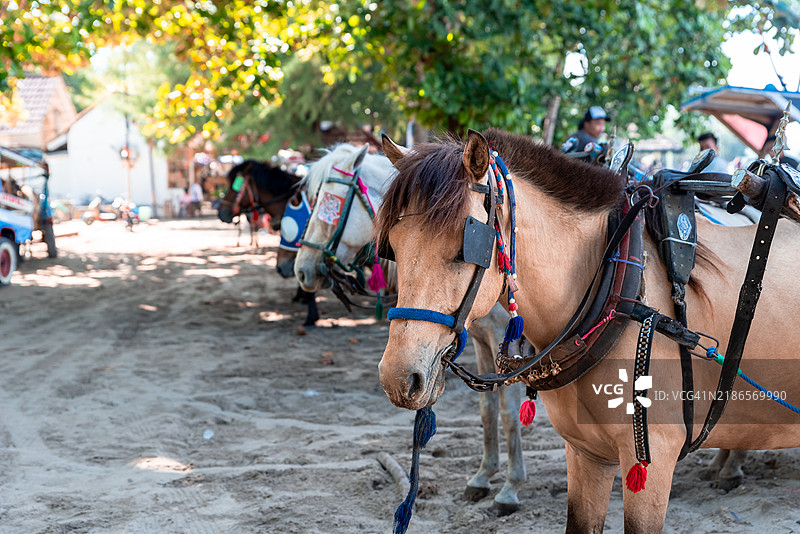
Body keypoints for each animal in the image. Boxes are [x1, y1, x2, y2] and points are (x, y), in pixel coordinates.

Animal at [293, 143, 528, 513]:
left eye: (332, 204)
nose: (301, 270)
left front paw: (510, 486)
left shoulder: (508, 346)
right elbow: (487, 409)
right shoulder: (480, 341)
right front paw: (483, 475)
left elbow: (507, 412)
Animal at [375, 129, 800, 532]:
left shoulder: (652, 461)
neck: (618, 288)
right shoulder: (586, 454)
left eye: (464, 246)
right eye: (391, 246)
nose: (398, 377)